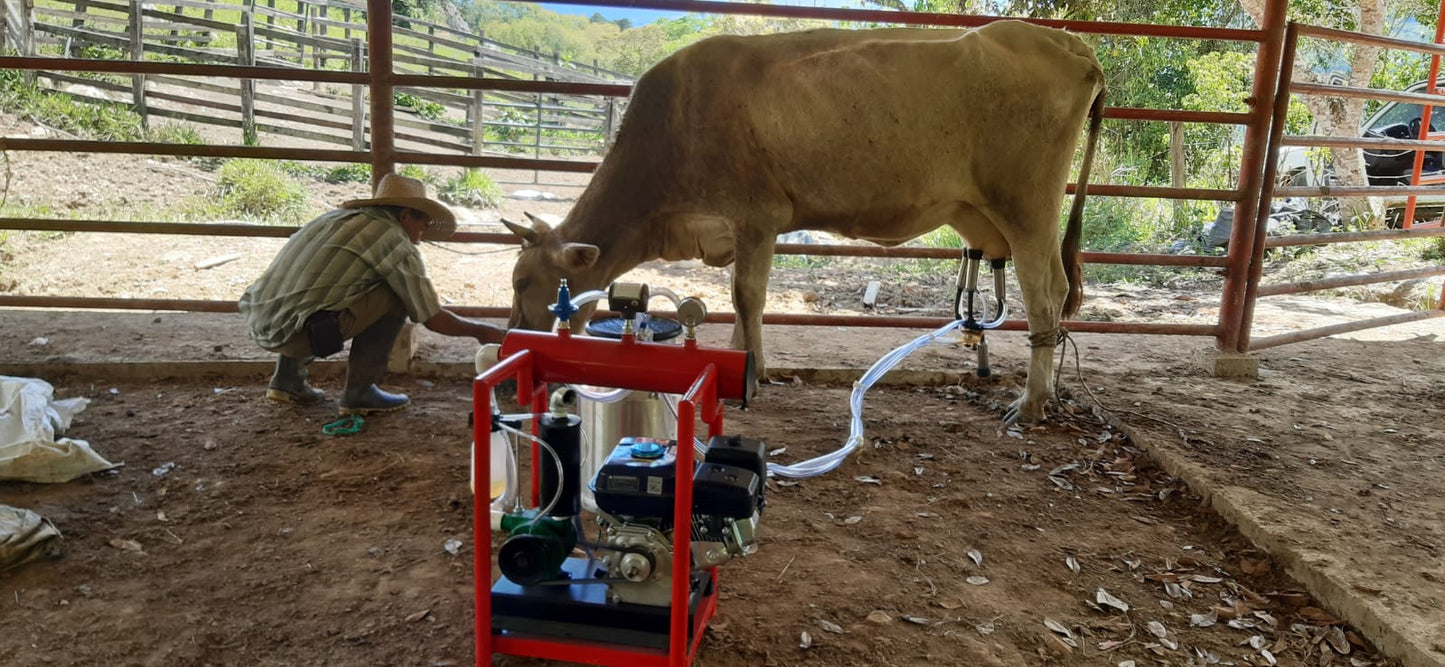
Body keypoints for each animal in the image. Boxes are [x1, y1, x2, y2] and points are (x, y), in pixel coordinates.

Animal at [505, 20, 1103, 421]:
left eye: (525, 282)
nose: (512, 338)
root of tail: (1063, 42)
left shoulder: (757, 214)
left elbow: (747, 295)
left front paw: (754, 371)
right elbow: (739, 298)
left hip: (1027, 207)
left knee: (1046, 293)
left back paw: (1032, 402)